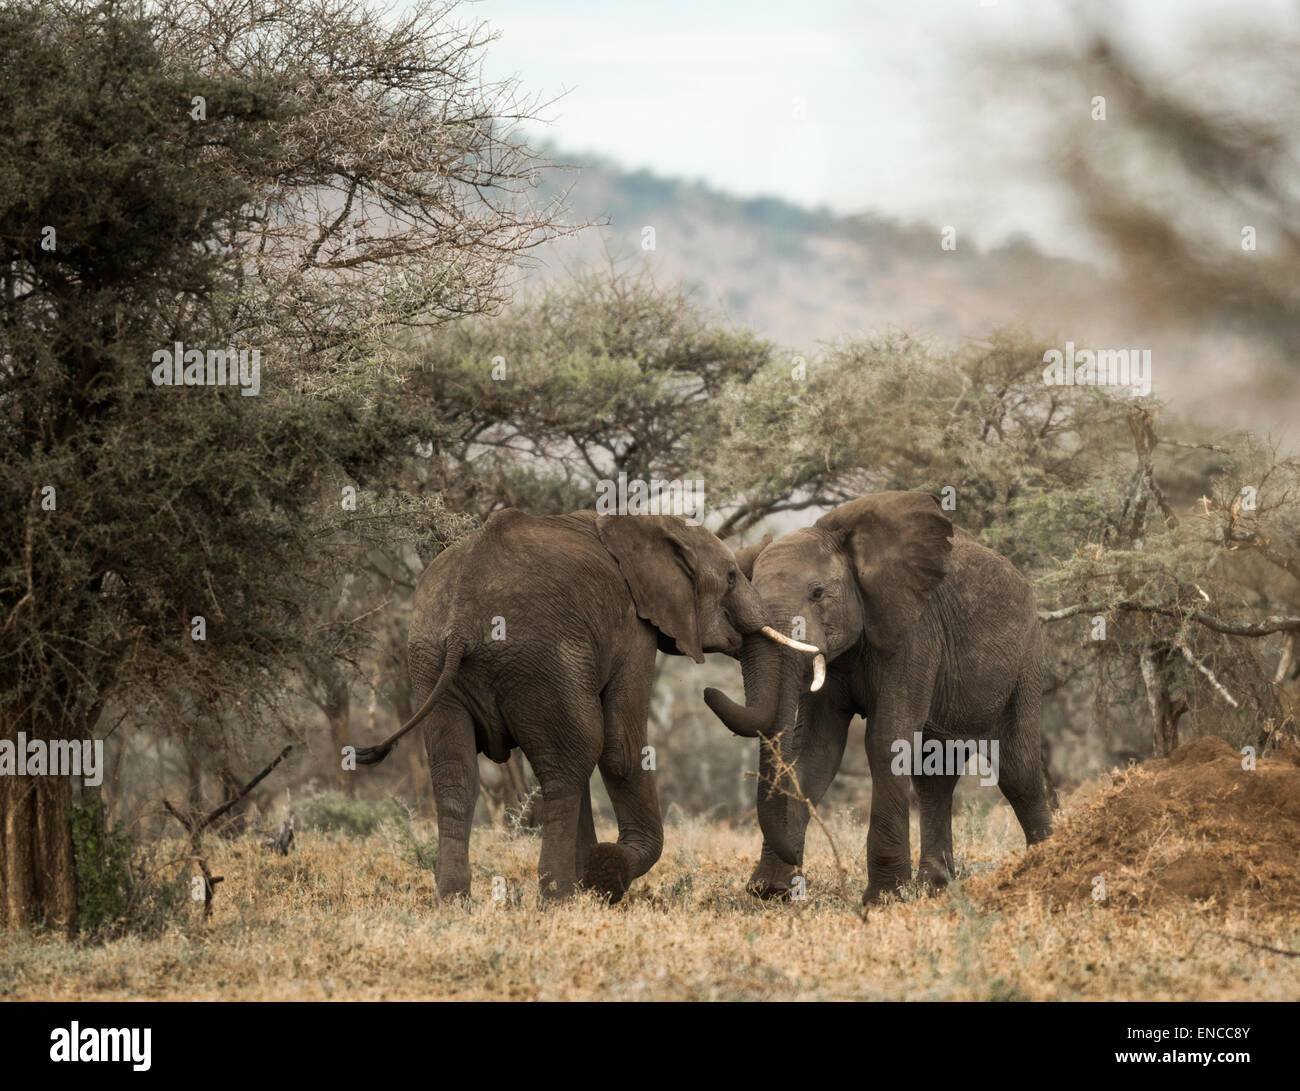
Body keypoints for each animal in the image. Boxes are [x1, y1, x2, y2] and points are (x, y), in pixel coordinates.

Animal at [351, 509, 806, 905]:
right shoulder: (632, 628)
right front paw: (605, 872)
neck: (641, 520)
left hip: (432, 661)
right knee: (572, 758)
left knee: (458, 776)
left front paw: (595, 874)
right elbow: (621, 748)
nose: (710, 691)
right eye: (730, 577)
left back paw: (454, 903)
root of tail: (463, 616)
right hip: (539, 658)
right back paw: (558, 899)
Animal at [702, 491, 1055, 905]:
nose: (708, 690)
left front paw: (883, 898)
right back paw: (935, 889)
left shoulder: (914, 632)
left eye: (817, 593)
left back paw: (1044, 866)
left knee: (1018, 770)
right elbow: (816, 750)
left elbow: (886, 739)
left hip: (1026, 660)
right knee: (934, 776)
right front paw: (772, 891)